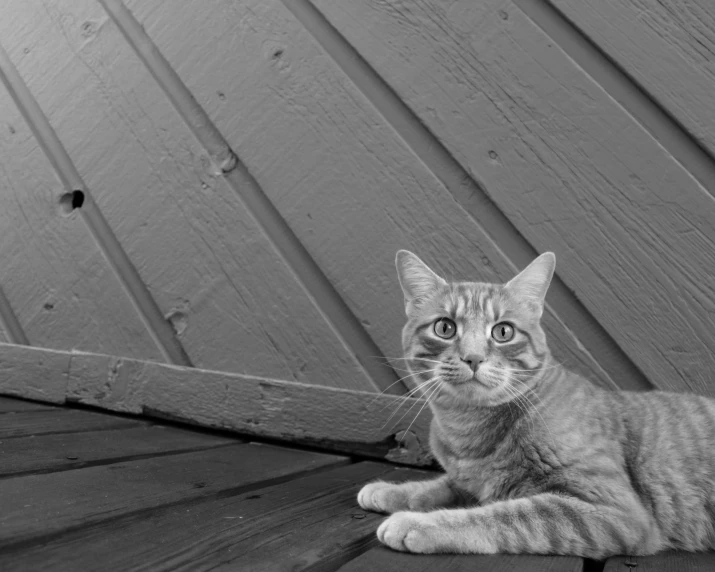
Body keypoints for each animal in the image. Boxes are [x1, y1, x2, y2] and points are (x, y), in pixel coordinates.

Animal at [360, 250, 715, 560]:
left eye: (503, 331)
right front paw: (390, 491)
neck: (469, 431)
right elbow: (438, 486)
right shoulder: (467, 480)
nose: (473, 358)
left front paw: (417, 522)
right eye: (445, 327)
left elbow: (502, 515)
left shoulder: (614, 511)